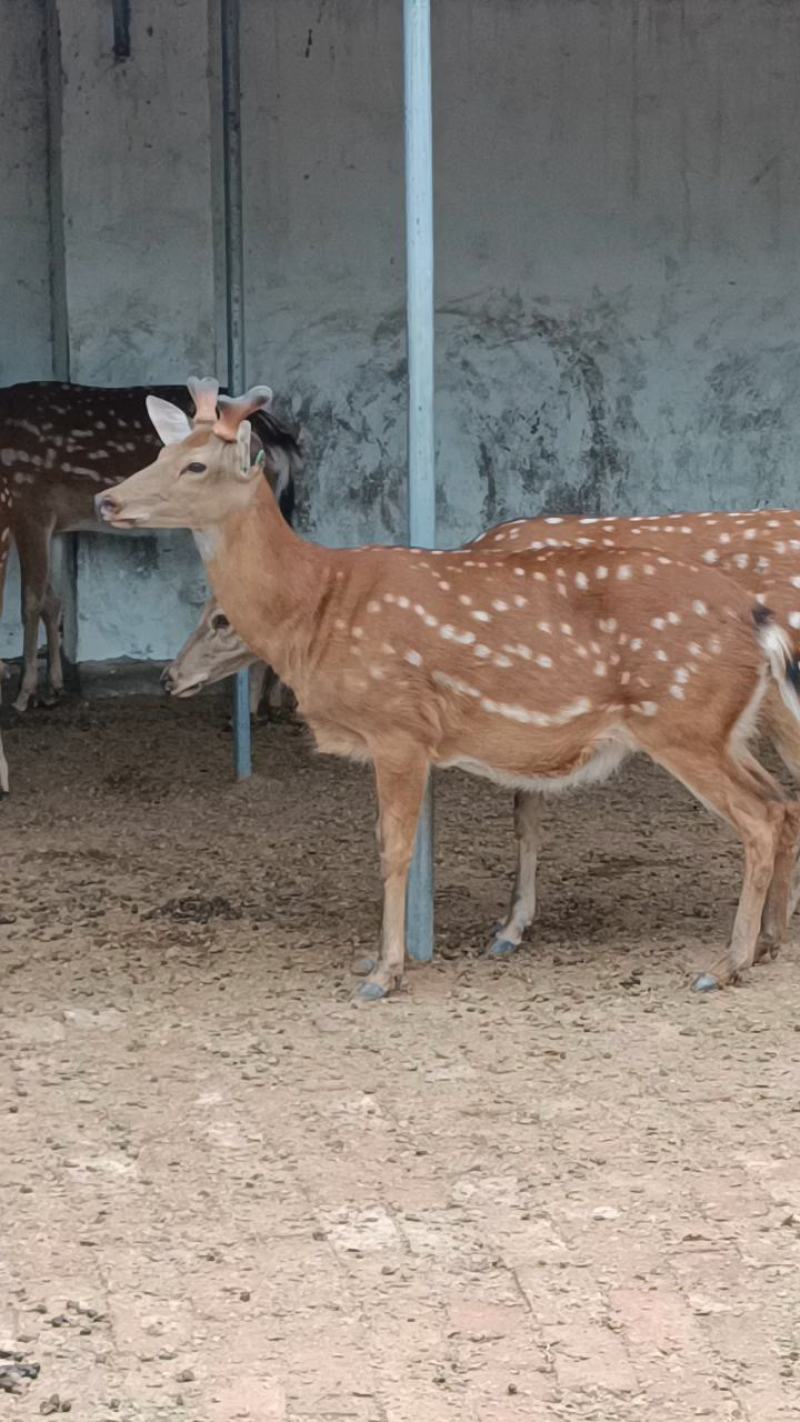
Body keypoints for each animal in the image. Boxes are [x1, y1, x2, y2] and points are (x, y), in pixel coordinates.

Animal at [0, 379, 299, 717]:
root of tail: (282, 442)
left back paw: (253, 705)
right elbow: (53, 601)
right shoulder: (57, 523)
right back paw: (274, 700)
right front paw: (53, 688)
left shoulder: (28, 500)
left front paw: (24, 694)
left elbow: (31, 602)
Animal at [96, 380, 800, 1001]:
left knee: (761, 816)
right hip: (723, 726)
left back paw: (725, 963)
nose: (107, 500)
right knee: (780, 802)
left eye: (195, 465)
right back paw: (762, 945)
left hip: (683, 718)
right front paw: (394, 953)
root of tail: (758, 618)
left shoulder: (397, 725)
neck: (316, 610)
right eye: (156, 453)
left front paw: (384, 972)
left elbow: (395, 847)